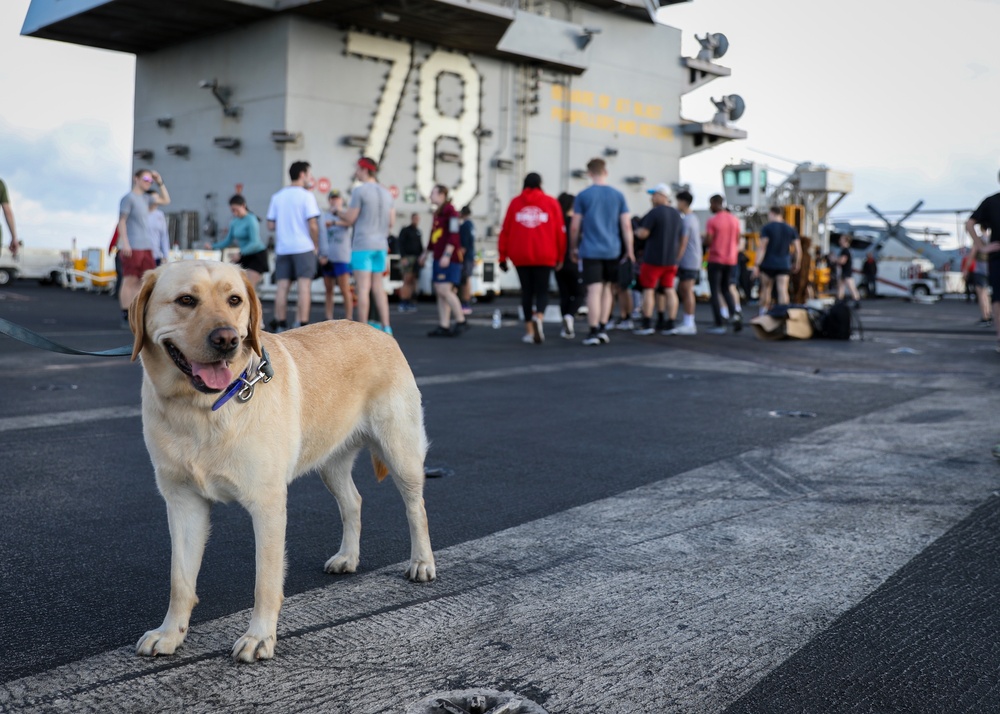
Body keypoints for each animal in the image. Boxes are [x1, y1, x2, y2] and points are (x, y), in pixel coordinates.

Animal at [128, 258, 434, 660]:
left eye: (235, 300)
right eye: (186, 300)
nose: (228, 340)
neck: (202, 410)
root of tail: (378, 330)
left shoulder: (268, 504)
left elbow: (266, 580)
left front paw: (259, 637)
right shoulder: (182, 502)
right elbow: (180, 579)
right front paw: (170, 634)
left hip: (401, 452)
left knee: (416, 508)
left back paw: (422, 562)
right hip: (331, 462)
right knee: (353, 501)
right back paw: (347, 557)